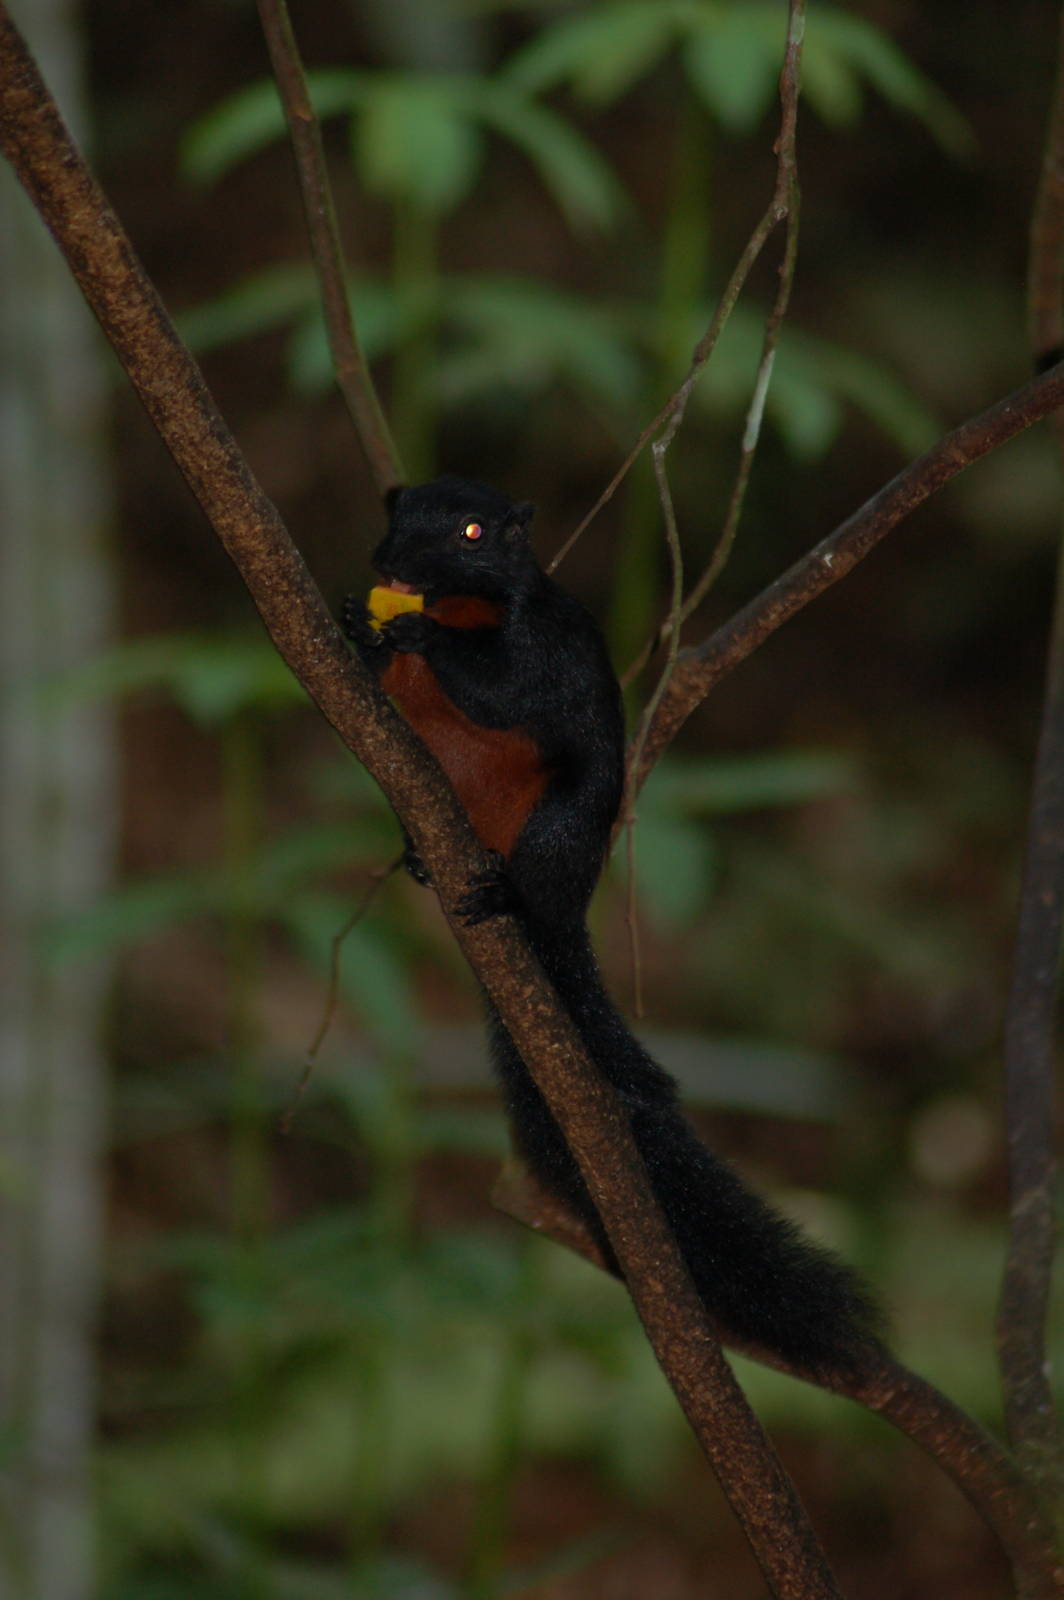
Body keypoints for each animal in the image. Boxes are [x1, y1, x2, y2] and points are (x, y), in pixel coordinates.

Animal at [343, 475, 884, 1380]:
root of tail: (563, 916)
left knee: (544, 860)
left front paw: (414, 633)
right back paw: (422, 860)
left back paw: (510, 897)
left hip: (562, 827)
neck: (459, 605)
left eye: (473, 531)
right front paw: (358, 624)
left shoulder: (543, 647)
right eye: (397, 510)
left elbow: (506, 690)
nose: (391, 563)